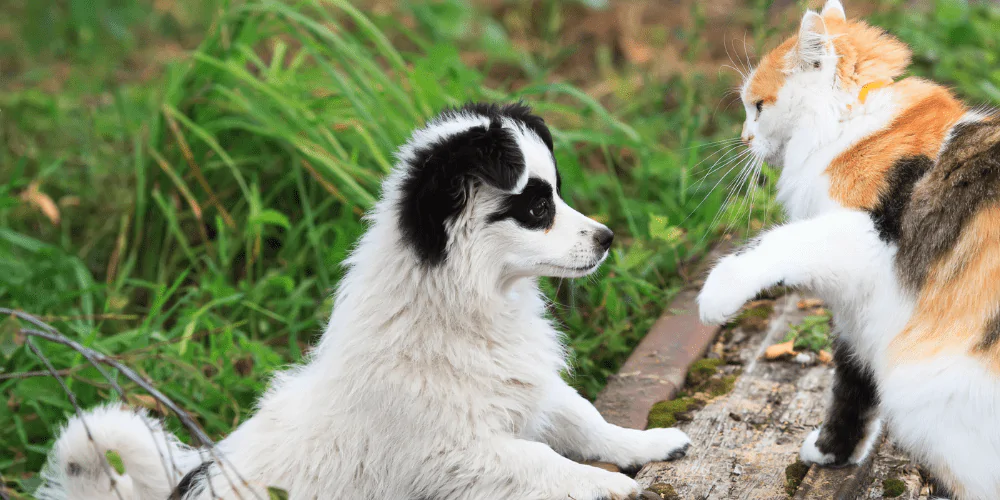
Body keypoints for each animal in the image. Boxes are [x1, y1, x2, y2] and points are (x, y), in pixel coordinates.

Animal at [41, 102, 696, 500]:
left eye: (556, 194)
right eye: (537, 208)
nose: (608, 238)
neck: (467, 305)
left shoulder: (528, 390)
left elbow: (585, 417)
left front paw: (646, 445)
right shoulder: (456, 452)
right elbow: (539, 460)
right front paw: (603, 484)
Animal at [696, 1, 1000, 498]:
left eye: (757, 106)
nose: (744, 137)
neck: (855, 129)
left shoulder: (866, 236)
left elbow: (780, 240)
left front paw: (717, 294)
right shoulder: (858, 311)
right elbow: (854, 385)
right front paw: (834, 452)